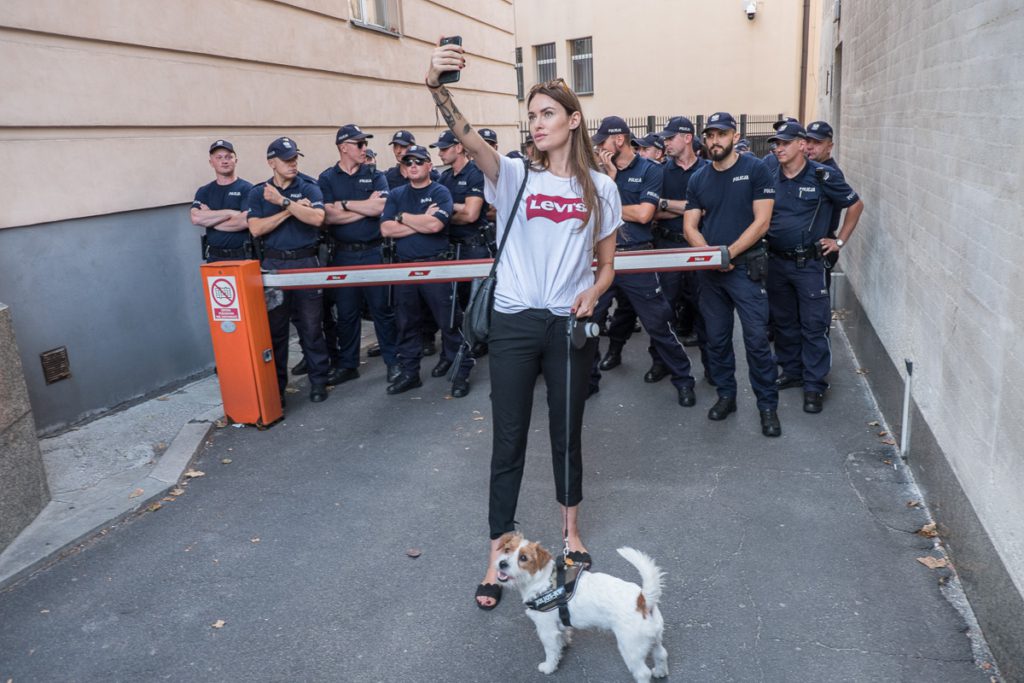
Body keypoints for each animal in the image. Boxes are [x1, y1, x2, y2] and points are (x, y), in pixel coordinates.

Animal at [495, 532, 671, 683]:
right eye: (507, 549)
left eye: (523, 558)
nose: (502, 563)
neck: (543, 581)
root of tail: (643, 600)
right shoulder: (559, 623)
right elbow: (563, 635)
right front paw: (564, 644)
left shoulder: (546, 630)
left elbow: (551, 651)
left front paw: (549, 667)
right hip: (654, 638)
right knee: (661, 654)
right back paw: (660, 672)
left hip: (631, 649)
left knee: (643, 673)